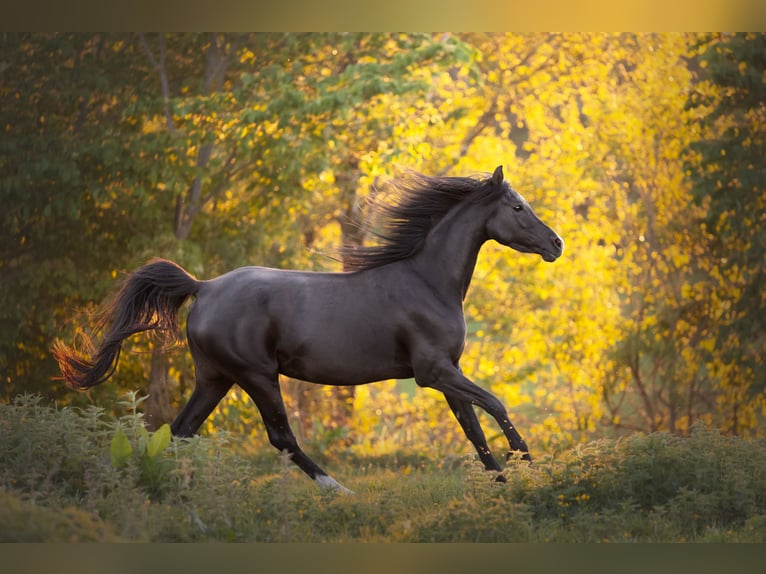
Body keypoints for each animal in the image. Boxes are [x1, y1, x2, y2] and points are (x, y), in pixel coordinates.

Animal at [54, 166, 564, 496]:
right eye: (518, 206)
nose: (556, 244)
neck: (427, 281)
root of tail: (204, 286)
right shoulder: (433, 372)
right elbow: (496, 405)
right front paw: (531, 469)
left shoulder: (447, 374)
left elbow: (473, 427)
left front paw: (502, 483)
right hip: (257, 376)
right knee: (280, 437)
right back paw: (338, 490)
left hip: (215, 377)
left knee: (182, 431)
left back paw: (180, 495)